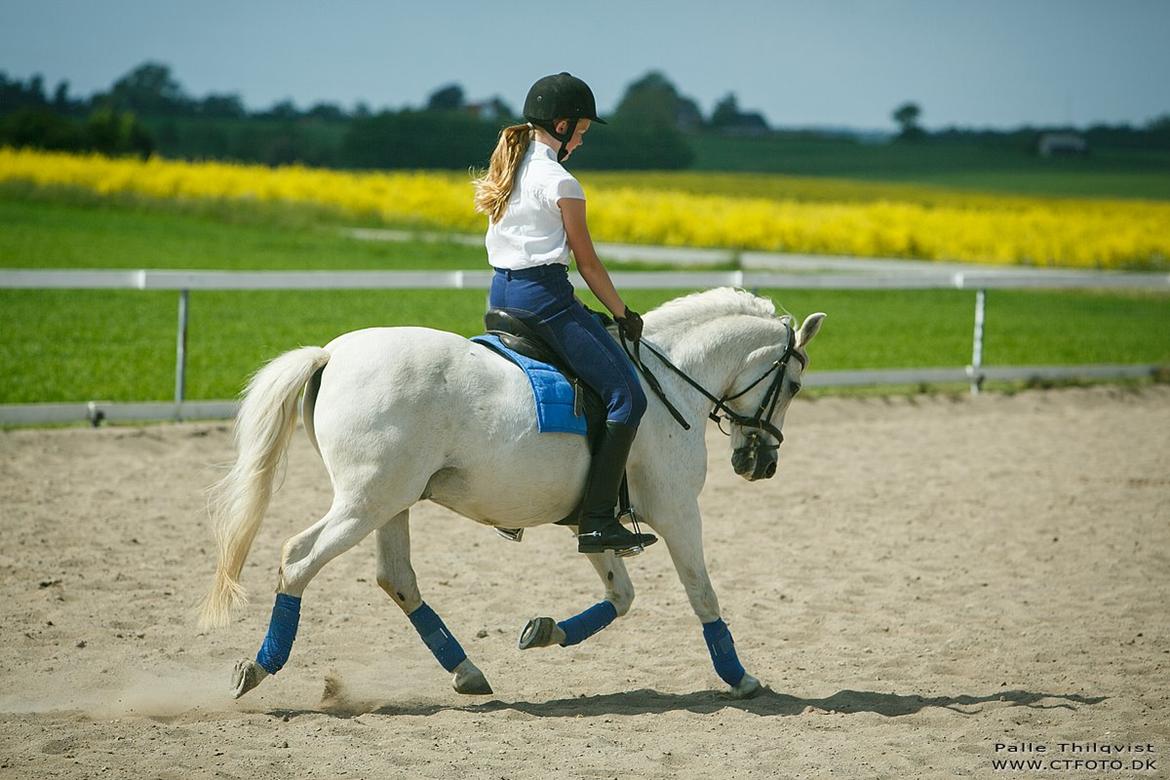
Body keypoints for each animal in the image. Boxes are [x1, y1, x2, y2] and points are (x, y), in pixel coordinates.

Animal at [198, 288, 823, 701]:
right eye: (792, 384)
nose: (760, 463)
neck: (668, 380)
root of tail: (333, 353)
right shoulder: (677, 513)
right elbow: (703, 595)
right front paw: (740, 677)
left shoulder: (591, 522)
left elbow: (621, 597)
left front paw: (547, 632)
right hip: (364, 503)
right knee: (298, 560)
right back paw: (260, 667)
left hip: (390, 503)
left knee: (397, 579)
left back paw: (467, 672)